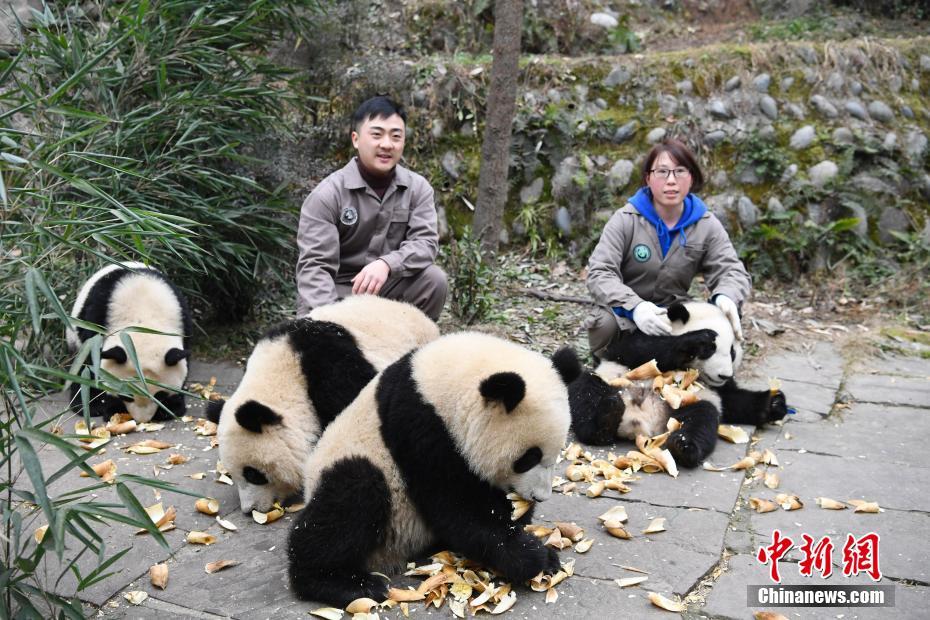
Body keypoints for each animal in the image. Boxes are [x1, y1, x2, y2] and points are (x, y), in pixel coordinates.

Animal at [67, 262, 192, 422]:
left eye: (160, 396)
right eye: (126, 395)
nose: (142, 419)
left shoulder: (182, 321)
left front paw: (171, 408)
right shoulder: (96, 320)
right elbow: (91, 364)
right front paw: (108, 408)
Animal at [288, 332, 580, 608]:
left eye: (555, 454)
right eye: (528, 458)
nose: (539, 497)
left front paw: (540, 549)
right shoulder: (419, 425)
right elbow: (455, 506)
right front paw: (531, 556)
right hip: (362, 472)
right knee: (351, 496)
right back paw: (344, 583)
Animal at [564, 302, 784, 468]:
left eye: (732, 352)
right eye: (711, 350)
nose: (724, 374)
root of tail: (638, 425)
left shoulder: (716, 389)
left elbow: (735, 401)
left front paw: (775, 403)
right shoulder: (633, 344)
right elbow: (646, 351)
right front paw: (699, 338)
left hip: (685, 405)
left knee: (702, 418)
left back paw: (684, 447)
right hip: (611, 381)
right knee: (587, 390)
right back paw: (603, 422)